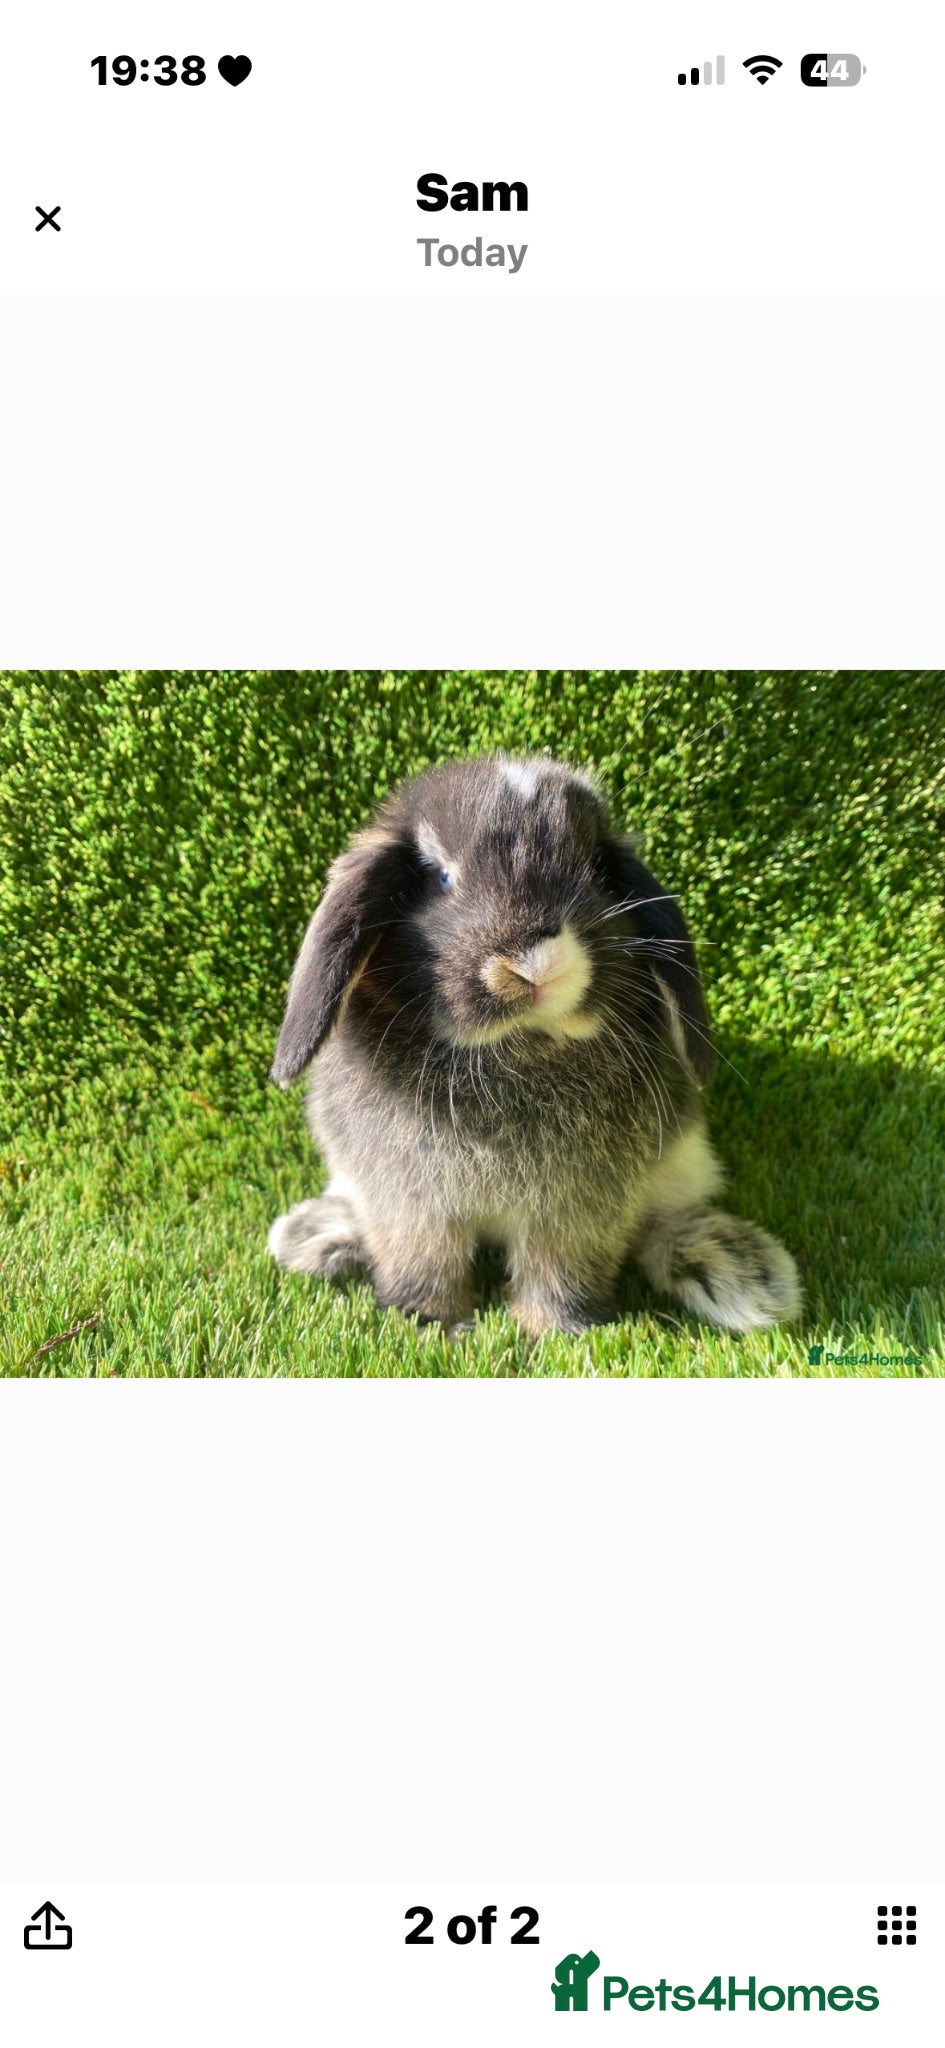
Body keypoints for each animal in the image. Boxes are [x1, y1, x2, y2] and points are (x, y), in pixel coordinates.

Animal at [268, 753, 801, 1339]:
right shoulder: (413, 1206)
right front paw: (428, 1323)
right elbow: (424, 1260)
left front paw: (556, 1331)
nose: (535, 962)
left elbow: (560, 1267)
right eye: (440, 877)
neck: (516, 1047)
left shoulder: (578, 1210)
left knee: (662, 1226)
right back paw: (316, 1235)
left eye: (597, 872)